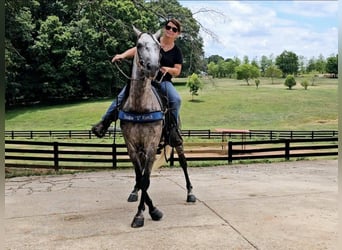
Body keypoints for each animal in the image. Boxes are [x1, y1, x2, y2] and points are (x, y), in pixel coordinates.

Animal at [119, 26, 195, 228]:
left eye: (158, 47)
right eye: (138, 45)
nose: (153, 68)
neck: (139, 106)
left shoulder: (152, 145)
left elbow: (146, 179)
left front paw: (146, 212)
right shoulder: (132, 146)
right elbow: (140, 177)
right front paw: (145, 207)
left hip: (176, 141)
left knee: (183, 163)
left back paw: (190, 193)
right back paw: (134, 192)